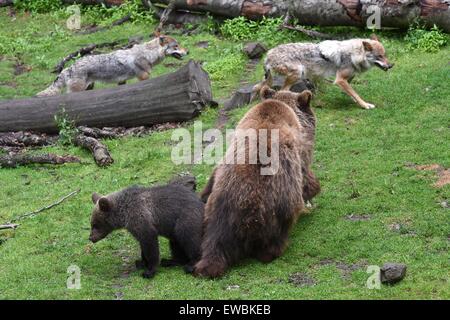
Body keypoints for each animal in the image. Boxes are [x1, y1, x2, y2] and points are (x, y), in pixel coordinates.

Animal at [36, 35, 188, 97]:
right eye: (176, 46)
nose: (188, 52)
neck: (148, 54)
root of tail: (70, 67)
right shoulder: (143, 78)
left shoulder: (122, 81)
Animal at [194, 85, 320, 278]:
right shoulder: (297, 156)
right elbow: (306, 177)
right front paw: (313, 192)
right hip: (278, 202)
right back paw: (272, 251)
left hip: (217, 209)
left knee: (214, 238)